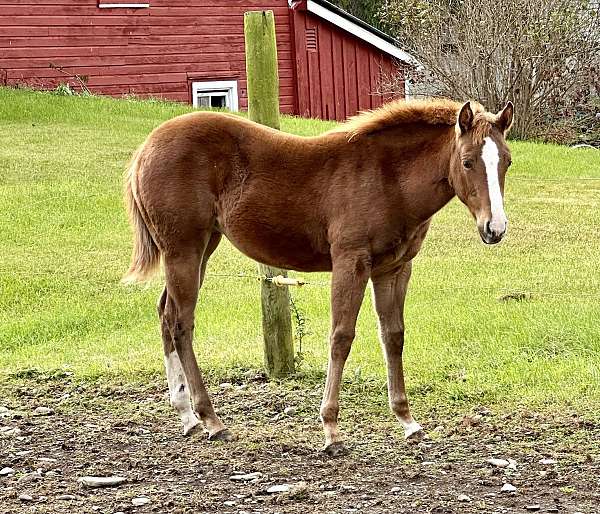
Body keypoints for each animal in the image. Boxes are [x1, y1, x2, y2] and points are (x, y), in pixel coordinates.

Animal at [123, 98, 516, 454]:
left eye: (507, 162)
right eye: (467, 162)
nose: (494, 228)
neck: (387, 178)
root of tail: (145, 149)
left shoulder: (394, 268)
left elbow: (393, 336)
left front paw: (408, 421)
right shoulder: (350, 261)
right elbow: (341, 337)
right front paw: (331, 430)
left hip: (202, 247)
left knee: (166, 313)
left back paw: (187, 416)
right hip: (184, 249)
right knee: (181, 323)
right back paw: (211, 420)